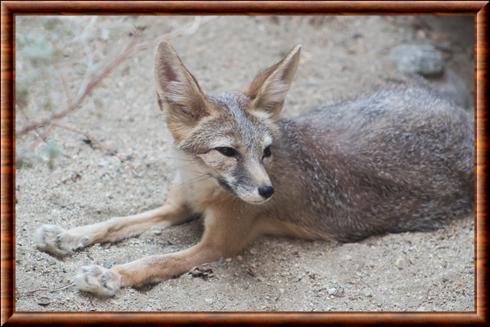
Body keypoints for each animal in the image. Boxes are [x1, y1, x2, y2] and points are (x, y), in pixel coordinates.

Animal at [32, 41, 472, 298]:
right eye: (227, 151)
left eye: (267, 151)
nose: (266, 192)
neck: (203, 185)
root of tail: (462, 118)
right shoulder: (177, 206)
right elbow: (115, 222)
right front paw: (66, 235)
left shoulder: (216, 246)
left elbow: (157, 260)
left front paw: (108, 276)